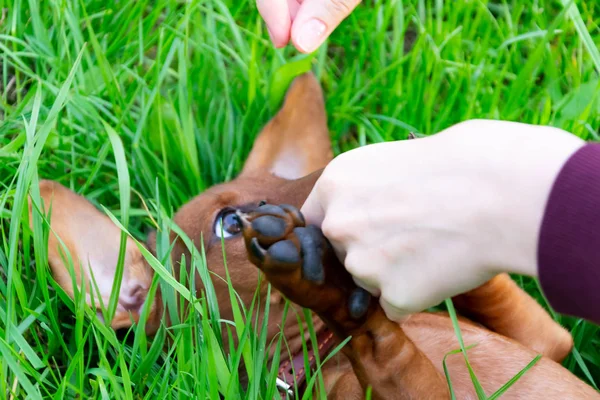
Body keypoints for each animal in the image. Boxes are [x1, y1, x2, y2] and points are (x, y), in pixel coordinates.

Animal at [31, 74, 600, 396]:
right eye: (228, 223)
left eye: (280, 180)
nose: (361, 162)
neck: (318, 354)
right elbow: (386, 346)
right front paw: (322, 283)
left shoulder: (547, 340)